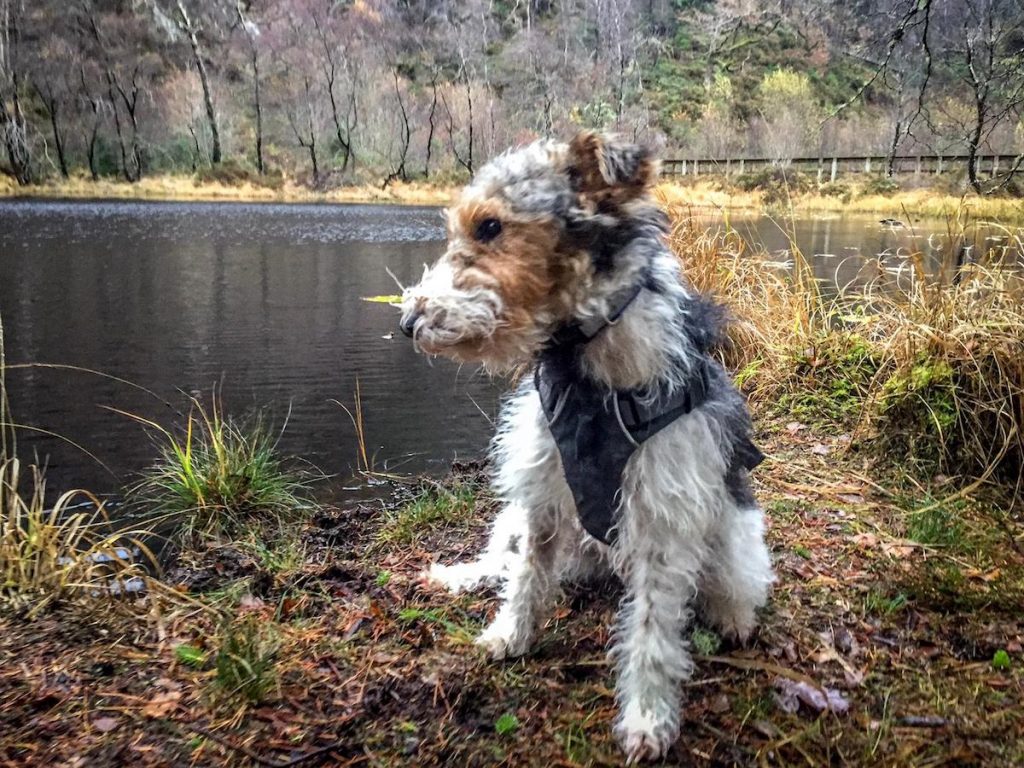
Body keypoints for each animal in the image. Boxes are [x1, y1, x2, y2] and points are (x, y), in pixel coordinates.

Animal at [395, 134, 770, 765]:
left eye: (490, 226)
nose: (408, 322)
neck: (592, 373)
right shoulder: (543, 494)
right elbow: (525, 578)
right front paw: (511, 636)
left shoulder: (664, 521)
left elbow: (651, 633)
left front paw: (647, 717)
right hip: (522, 517)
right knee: (503, 560)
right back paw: (462, 575)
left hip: (729, 536)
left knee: (733, 582)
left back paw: (733, 615)